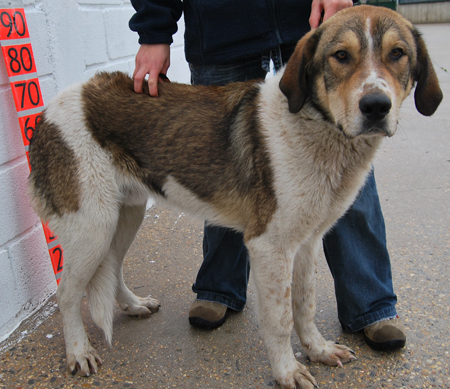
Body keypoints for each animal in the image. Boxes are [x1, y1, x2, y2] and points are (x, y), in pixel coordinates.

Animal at [29, 6, 442, 388]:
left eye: (398, 53)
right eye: (341, 56)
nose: (376, 106)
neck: (317, 128)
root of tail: (48, 111)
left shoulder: (307, 241)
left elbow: (304, 305)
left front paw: (318, 349)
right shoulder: (269, 246)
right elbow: (280, 319)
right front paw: (287, 371)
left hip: (125, 215)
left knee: (112, 267)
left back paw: (133, 305)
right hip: (92, 226)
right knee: (68, 293)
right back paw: (79, 352)